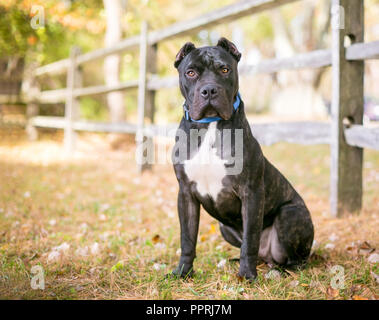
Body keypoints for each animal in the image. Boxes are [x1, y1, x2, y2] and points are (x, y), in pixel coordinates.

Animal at [172, 37, 314, 278]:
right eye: (190, 72)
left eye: (224, 69)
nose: (209, 90)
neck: (210, 126)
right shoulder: (186, 194)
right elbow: (187, 239)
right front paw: (182, 272)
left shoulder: (251, 192)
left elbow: (250, 238)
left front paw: (247, 274)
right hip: (224, 228)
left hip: (290, 214)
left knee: (295, 258)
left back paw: (282, 270)